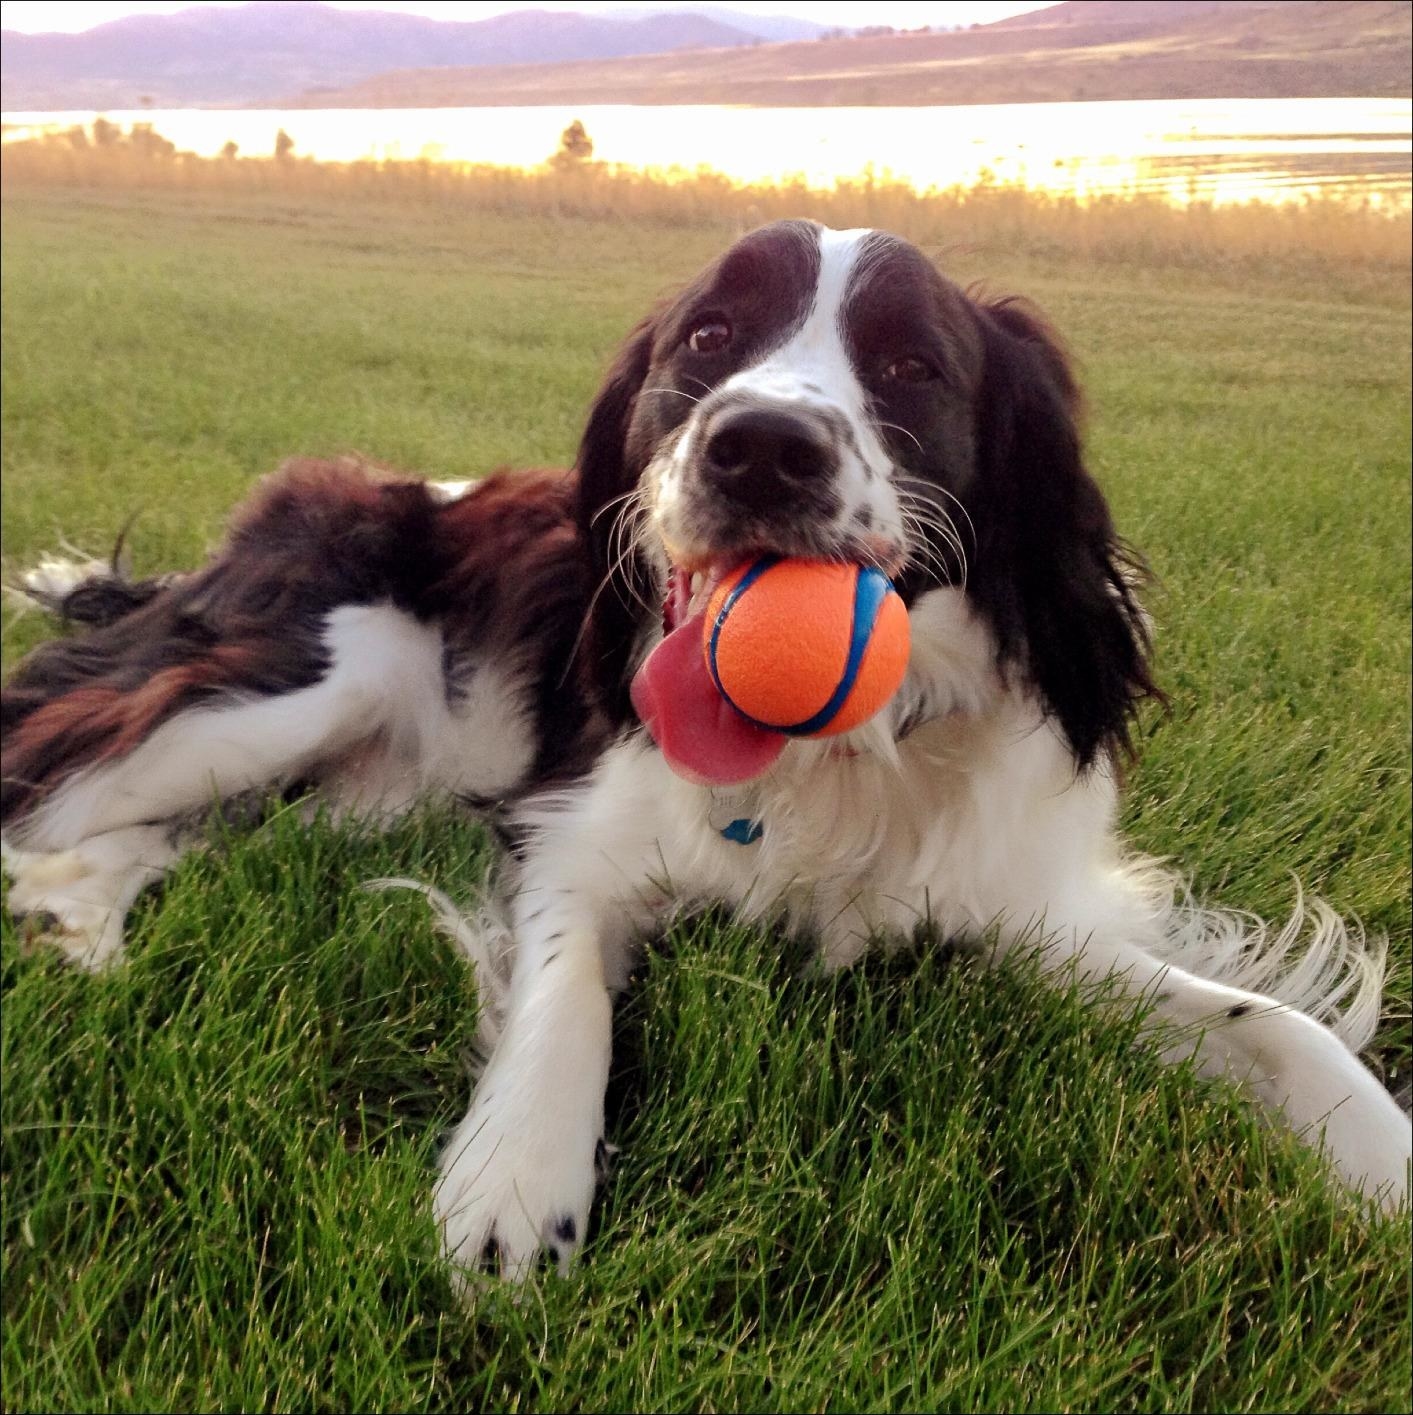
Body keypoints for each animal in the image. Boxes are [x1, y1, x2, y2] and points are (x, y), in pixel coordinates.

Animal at [0, 220, 1408, 1284]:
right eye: (709, 339)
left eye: (911, 363)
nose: (761, 445)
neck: (826, 758)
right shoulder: (575, 834)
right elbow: (567, 987)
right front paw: (514, 1178)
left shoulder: (1003, 904)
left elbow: (1276, 1023)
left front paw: (1381, 1153)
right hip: (312, 680)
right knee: (52, 795)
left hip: (355, 780)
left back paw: (90, 929)